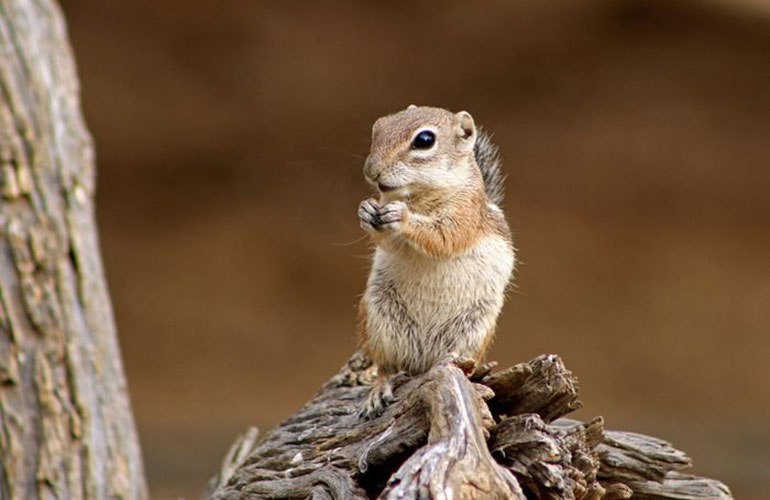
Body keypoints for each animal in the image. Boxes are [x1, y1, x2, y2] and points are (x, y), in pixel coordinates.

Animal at [357, 105, 515, 417]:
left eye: (424, 140)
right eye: (378, 127)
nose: (371, 171)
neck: (418, 196)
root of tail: (423, 360)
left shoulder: (465, 215)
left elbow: (443, 238)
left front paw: (403, 217)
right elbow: (389, 243)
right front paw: (367, 210)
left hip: (472, 332)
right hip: (380, 322)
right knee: (385, 366)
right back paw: (378, 391)